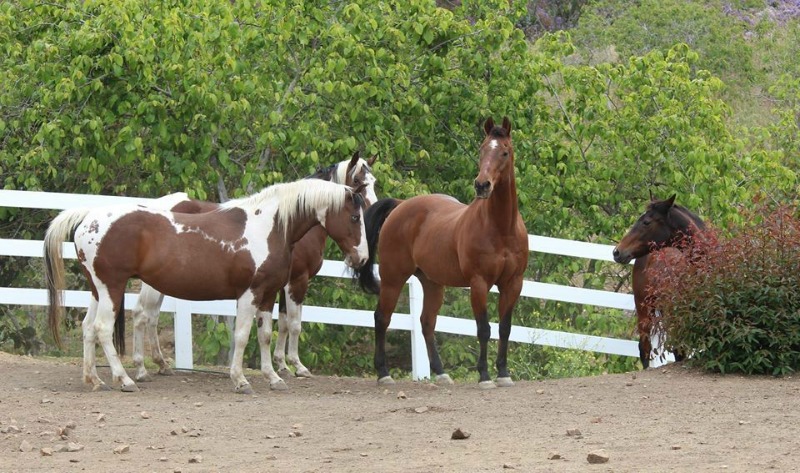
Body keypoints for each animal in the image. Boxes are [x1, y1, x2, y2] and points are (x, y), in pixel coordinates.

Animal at [45, 179, 368, 392]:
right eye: (354, 216)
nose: (362, 258)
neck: (269, 227)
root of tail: (89, 217)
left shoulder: (267, 295)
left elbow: (265, 335)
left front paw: (274, 377)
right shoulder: (249, 294)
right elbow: (242, 336)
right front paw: (240, 380)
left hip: (98, 290)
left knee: (89, 328)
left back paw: (94, 379)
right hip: (112, 287)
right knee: (103, 329)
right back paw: (124, 379)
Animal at [126, 153, 378, 382]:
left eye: (373, 181)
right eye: (358, 181)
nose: (361, 257)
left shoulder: (278, 285)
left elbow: (281, 324)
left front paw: (281, 366)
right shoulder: (296, 281)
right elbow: (294, 324)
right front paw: (297, 366)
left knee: (151, 316)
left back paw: (160, 364)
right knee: (141, 314)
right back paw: (142, 368)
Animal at [356, 115, 532, 388]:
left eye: (505, 151)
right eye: (482, 149)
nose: (482, 185)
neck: (501, 228)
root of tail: (400, 206)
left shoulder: (513, 283)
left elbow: (505, 327)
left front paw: (503, 374)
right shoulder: (479, 283)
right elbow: (484, 329)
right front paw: (484, 376)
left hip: (432, 283)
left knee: (427, 323)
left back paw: (441, 373)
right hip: (393, 278)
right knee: (381, 318)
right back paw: (383, 373)